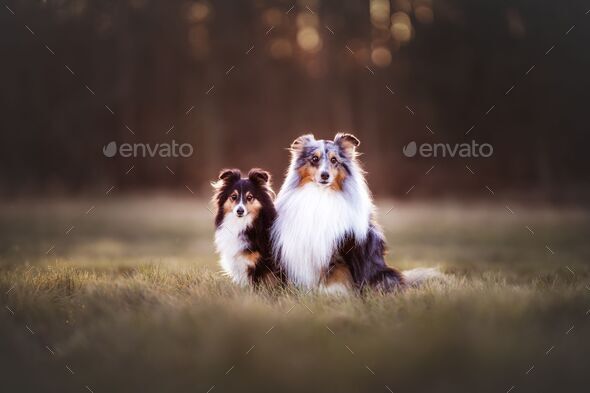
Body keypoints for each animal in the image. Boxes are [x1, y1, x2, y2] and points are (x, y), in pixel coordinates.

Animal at [272, 133, 440, 292]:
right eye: (314, 158)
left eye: (334, 160)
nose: (325, 175)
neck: (321, 194)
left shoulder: (341, 248)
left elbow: (337, 276)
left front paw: (332, 295)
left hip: (383, 274)